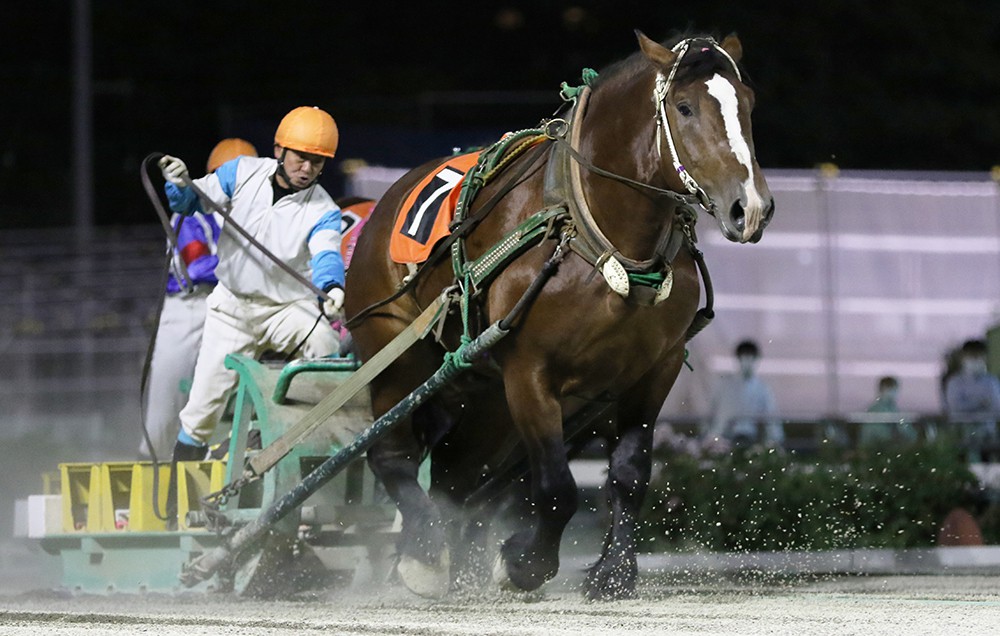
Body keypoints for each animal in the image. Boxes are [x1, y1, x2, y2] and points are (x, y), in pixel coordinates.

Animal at [344, 31, 772, 600]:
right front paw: (526, 561)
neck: (601, 235)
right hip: (395, 351)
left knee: (460, 475)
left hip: (484, 394)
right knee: (392, 456)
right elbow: (554, 486)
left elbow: (630, 473)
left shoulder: (654, 370)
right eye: (684, 107)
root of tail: (381, 205)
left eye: (747, 103)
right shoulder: (529, 371)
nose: (750, 207)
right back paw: (425, 555)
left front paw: (613, 572)